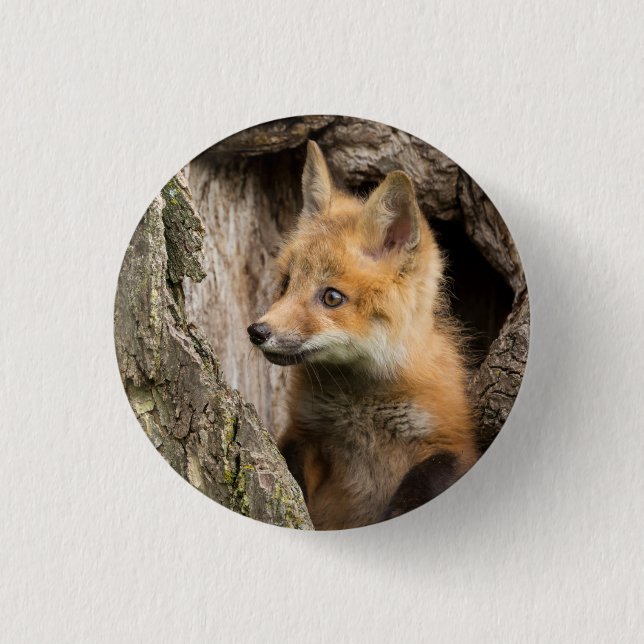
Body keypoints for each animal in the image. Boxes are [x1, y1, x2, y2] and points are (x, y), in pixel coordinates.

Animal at [247, 140, 478, 530]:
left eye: (331, 297)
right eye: (286, 284)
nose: (257, 331)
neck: (360, 407)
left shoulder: (453, 442)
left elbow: (417, 489)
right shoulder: (304, 433)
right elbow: (293, 477)